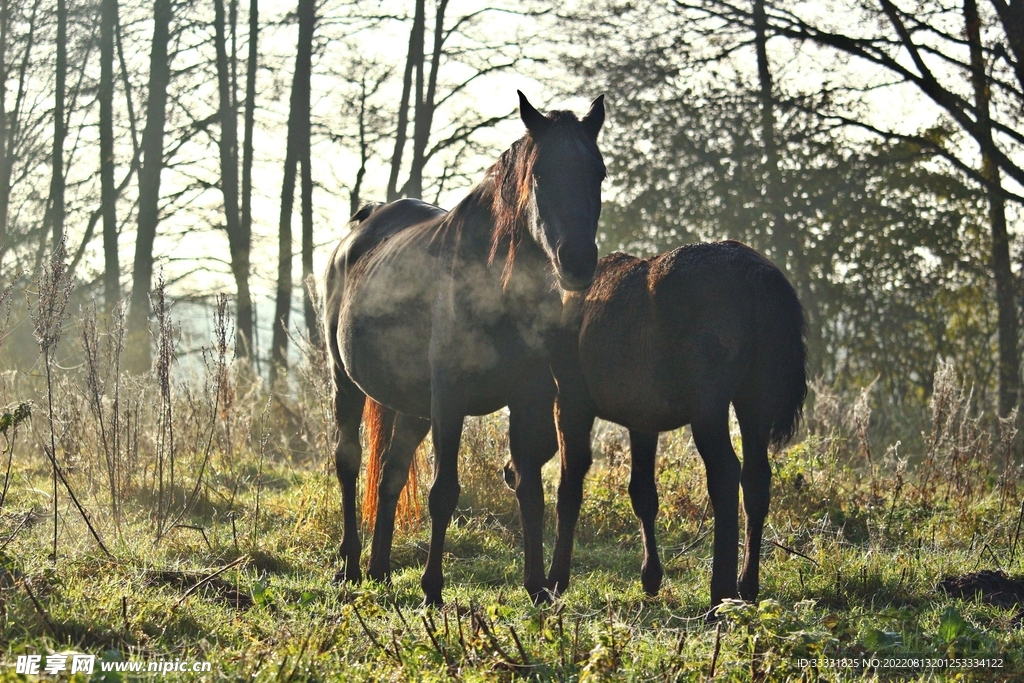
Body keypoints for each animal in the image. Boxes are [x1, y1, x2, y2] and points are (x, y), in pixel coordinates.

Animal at [323, 91, 606, 606]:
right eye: (540, 174)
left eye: (597, 172)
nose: (576, 262)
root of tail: (361, 226)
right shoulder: (449, 399)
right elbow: (444, 492)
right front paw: (433, 590)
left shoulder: (529, 396)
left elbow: (530, 487)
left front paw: (536, 586)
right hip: (346, 381)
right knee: (349, 461)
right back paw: (350, 565)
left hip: (413, 404)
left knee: (391, 473)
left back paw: (379, 569)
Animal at [526, 241, 806, 610]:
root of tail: (757, 275)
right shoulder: (643, 421)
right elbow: (643, 493)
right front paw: (651, 576)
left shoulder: (571, 402)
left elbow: (569, 487)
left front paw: (556, 579)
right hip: (753, 400)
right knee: (755, 478)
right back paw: (746, 585)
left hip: (708, 407)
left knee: (725, 473)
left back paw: (720, 594)